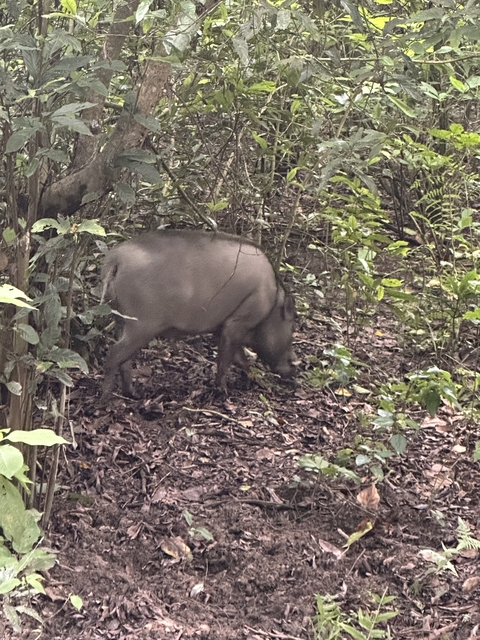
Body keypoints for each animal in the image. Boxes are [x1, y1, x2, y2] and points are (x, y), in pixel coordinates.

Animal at [100, 230, 295, 400]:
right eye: (292, 329)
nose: (294, 367)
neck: (272, 302)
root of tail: (116, 259)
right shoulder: (237, 324)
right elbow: (226, 359)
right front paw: (223, 391)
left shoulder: (222, 328)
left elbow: (239, 358)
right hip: (141, 325)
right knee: (113, 355)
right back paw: (106, 399)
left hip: (121, 319)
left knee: (124, 360)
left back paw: (133, 394)